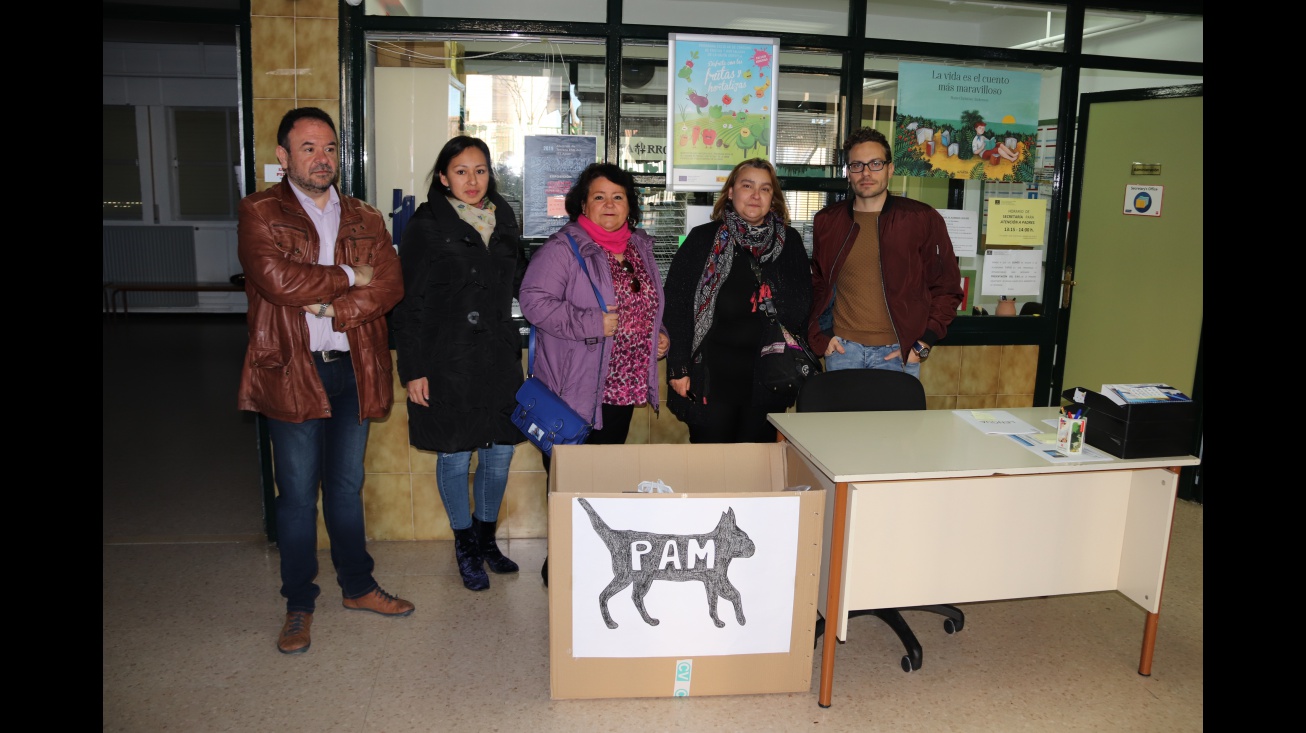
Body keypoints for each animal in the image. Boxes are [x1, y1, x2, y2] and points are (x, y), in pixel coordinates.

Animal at [579, 496, 762, 629]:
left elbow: (719, 601)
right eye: (744, 537)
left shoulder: (713, 581)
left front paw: (724, 620)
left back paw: (649, 621)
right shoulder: (717, 580)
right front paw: (735, 620)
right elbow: (730, 596)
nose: (753, 545)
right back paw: (610, 623)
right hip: (627, 576)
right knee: (605, 595)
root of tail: (615, 534)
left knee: (635, 597)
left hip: (642, 579)